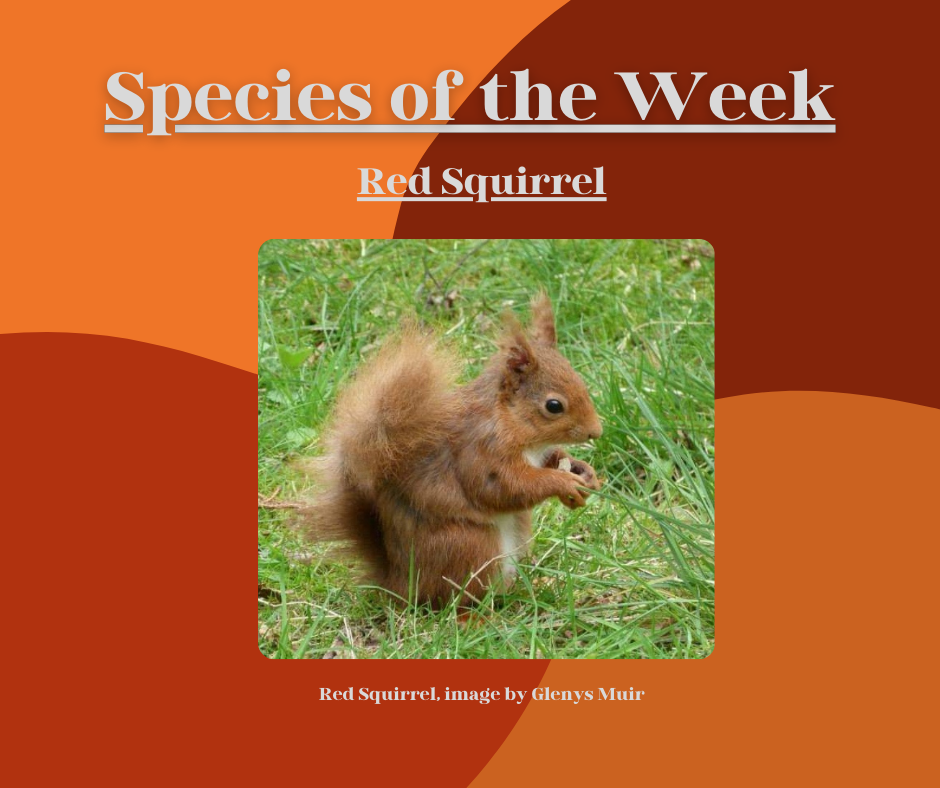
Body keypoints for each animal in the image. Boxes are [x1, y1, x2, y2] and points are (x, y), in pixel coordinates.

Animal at [296, 292, 603, 608]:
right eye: (553, 406)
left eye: (581, 382)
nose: (596, 431)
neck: (511, 422)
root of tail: (399, 585)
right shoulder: (480, 450)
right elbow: (504, 488)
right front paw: (563, 482)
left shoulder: (538, 452)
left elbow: (554, 459)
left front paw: (584, 472)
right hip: (469, 546)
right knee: (453, 600)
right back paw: (477, 614)